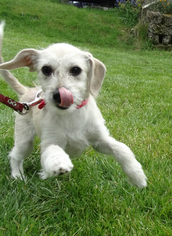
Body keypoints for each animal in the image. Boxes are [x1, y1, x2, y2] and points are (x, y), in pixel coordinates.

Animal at [0, 22, 148, 188]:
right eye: (46, 69)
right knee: (15, 155)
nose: (58, 95)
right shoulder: (49, 141)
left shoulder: (100, 140)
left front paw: (137, 176)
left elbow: (122, 148)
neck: (71, 115)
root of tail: (28, 91)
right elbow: (53, 149)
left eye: (76, 70)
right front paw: (59, 163)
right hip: (24, 140)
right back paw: (17, 175)